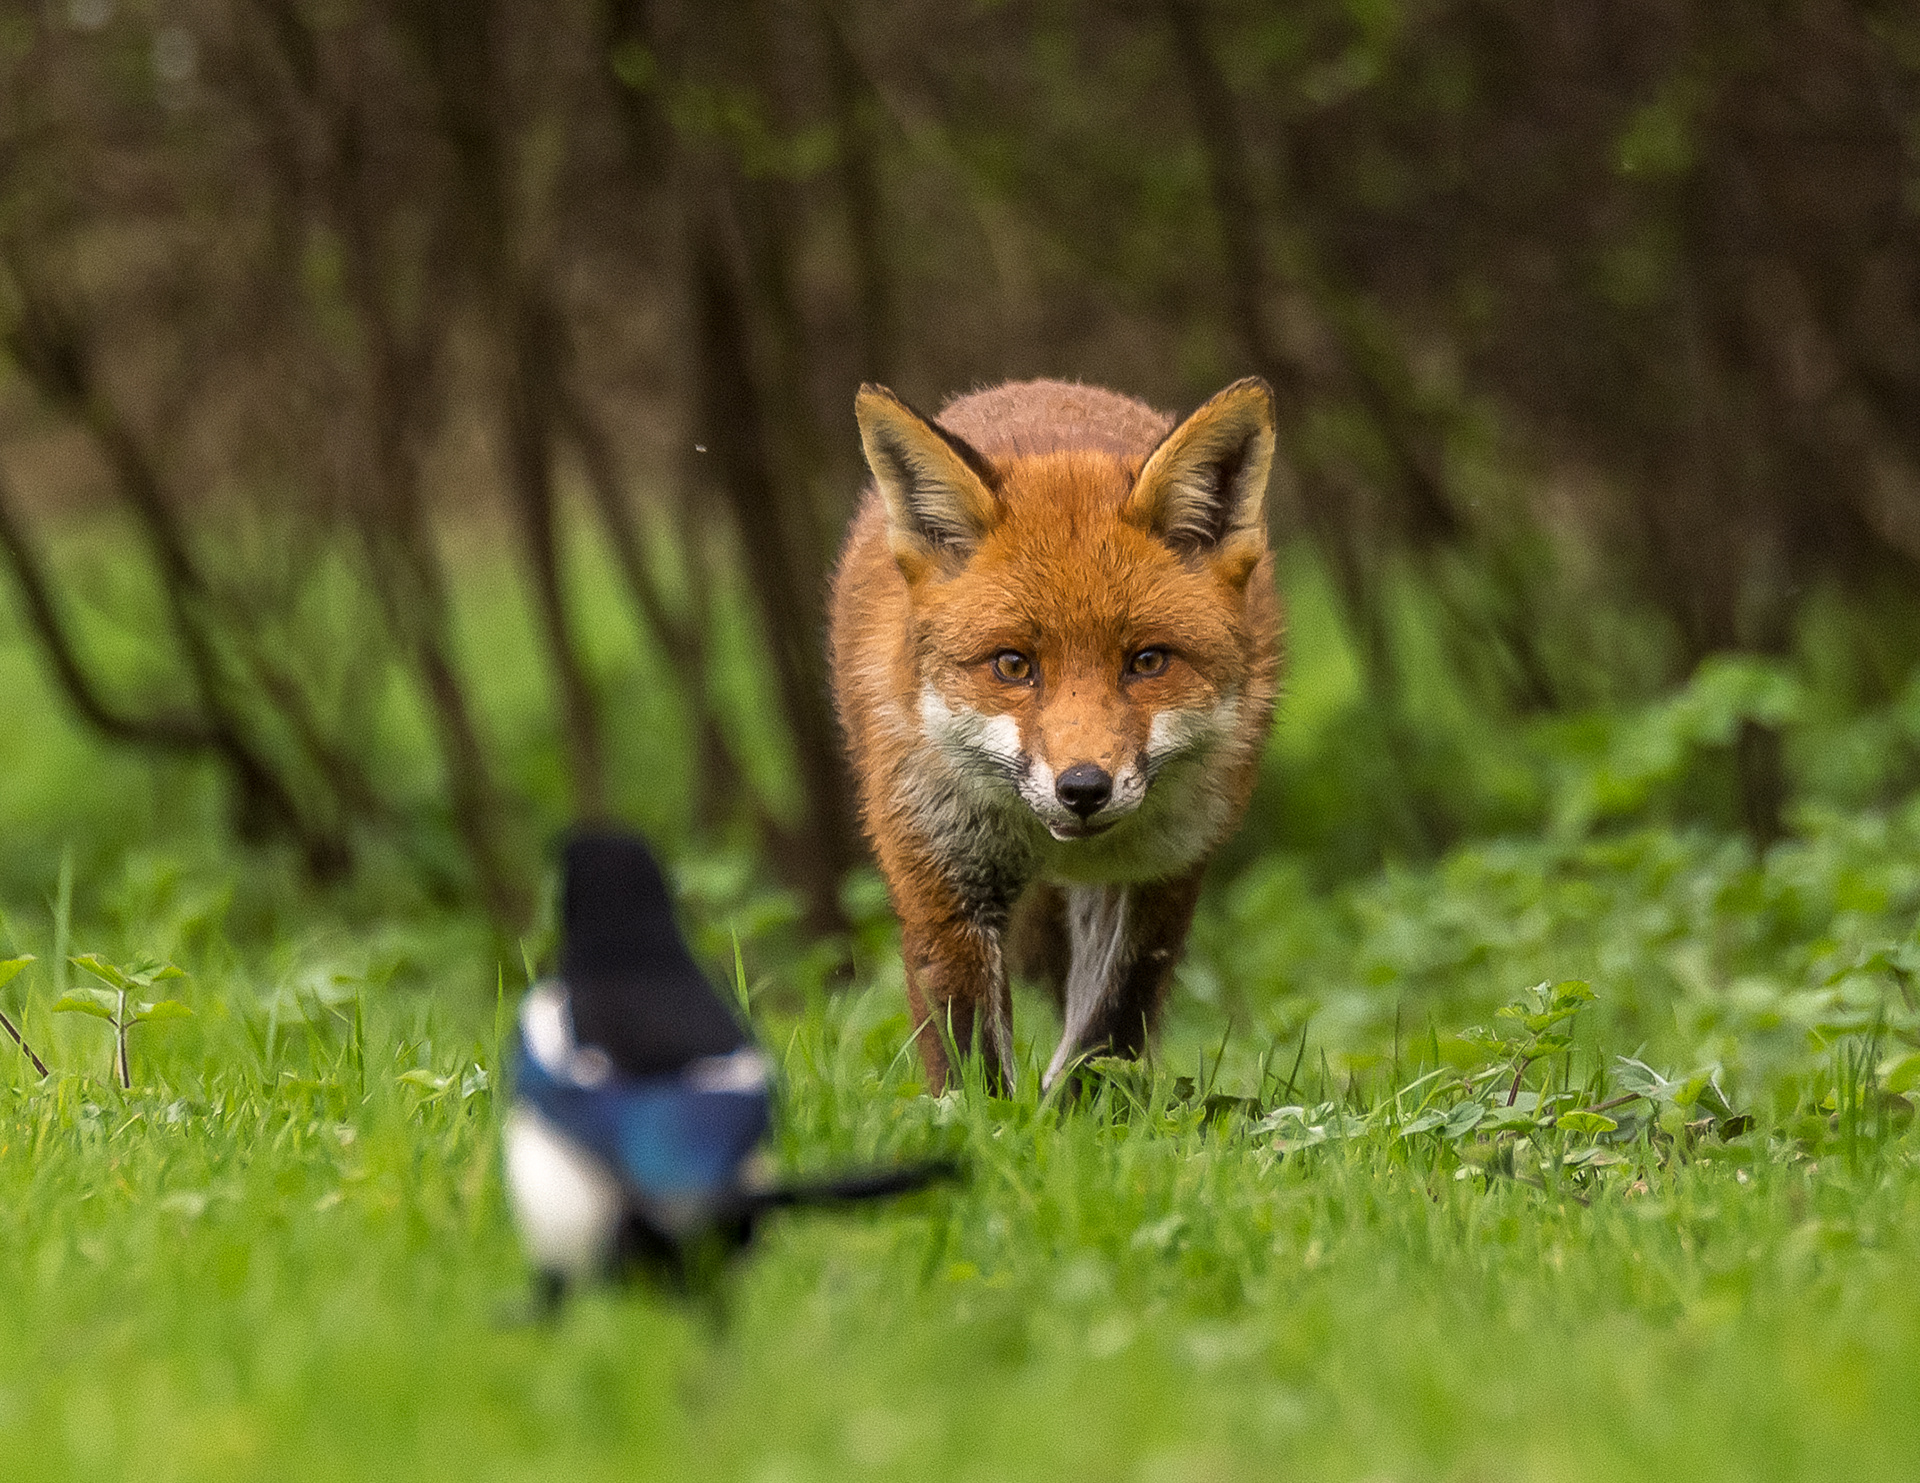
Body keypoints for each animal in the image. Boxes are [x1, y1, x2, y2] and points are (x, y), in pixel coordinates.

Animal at [833, 376, 1282, 1091]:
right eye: (1014, 665)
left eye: (1146, 661)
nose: (1084, 789)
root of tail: (1042, 387)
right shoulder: (940, 866)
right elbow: (970, 1049)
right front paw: (986, 1120)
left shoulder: (1160, 872)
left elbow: (1108, 1028)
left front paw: (1076, 1109)